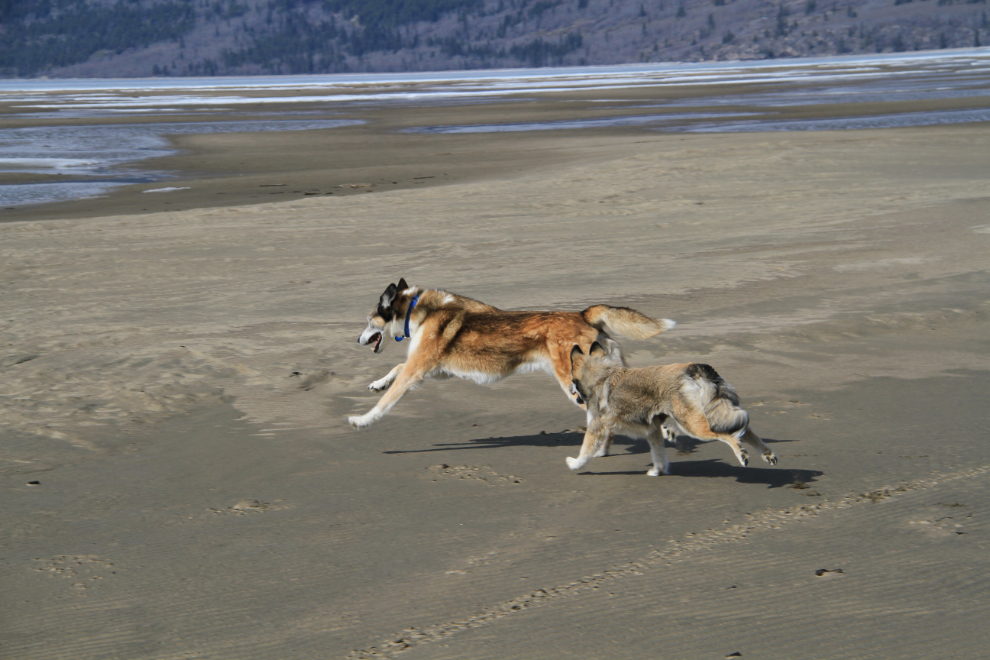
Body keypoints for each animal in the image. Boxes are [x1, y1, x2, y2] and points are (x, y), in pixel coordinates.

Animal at [344, 278, 680, 428]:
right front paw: (378, 383)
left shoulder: (418, 370)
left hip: (574, 383)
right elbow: (395, 371)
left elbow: (385, 401)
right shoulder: (434, 371)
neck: (419, 310)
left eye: (369, 320)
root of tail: (583, 314)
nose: (357, 340)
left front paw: (362, 419)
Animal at [568, 342, 780, 476]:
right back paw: (767, 454)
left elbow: (585, 452)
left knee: (728, 434)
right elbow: (659, 455)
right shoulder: (653, 431)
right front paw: (658, 471)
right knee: (745, 428)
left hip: (692, 424)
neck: (601, 375)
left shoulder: (595, 429)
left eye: (572, 379)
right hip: (714, 412)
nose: (570, 390)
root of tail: (694, 368)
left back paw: (742, 454)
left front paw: (574, 464)